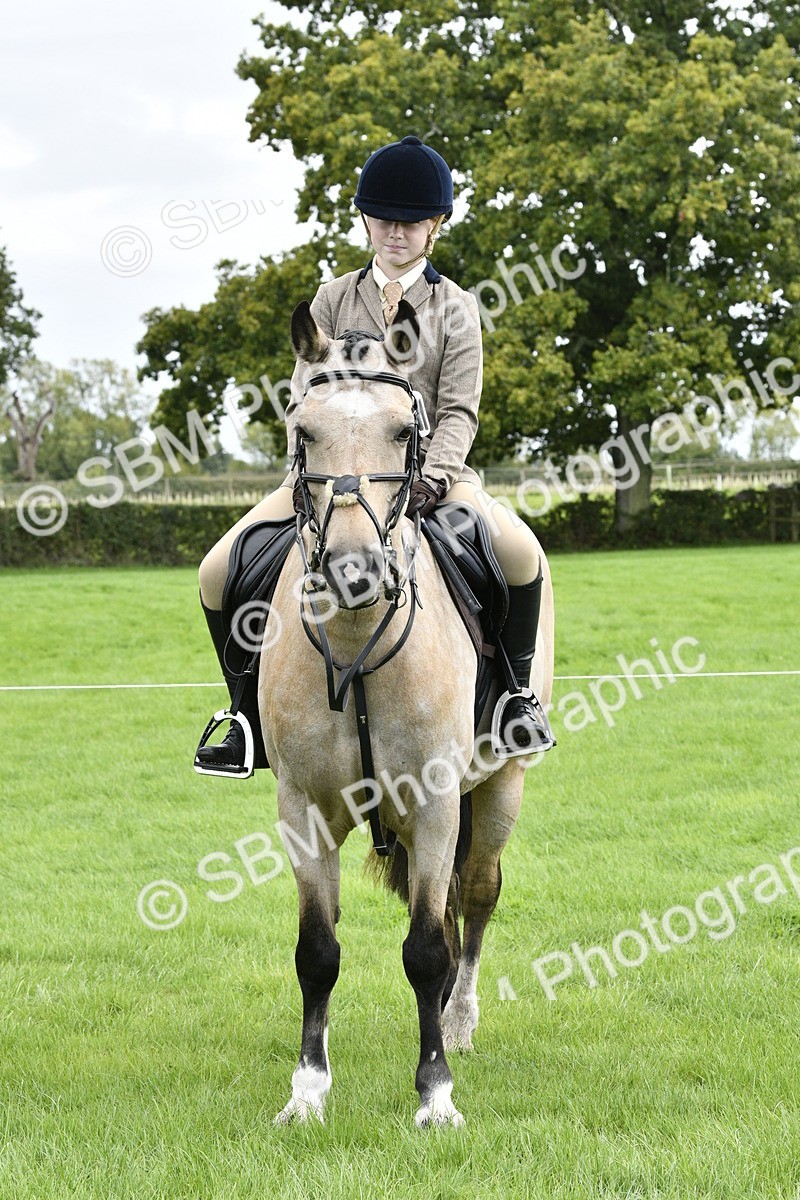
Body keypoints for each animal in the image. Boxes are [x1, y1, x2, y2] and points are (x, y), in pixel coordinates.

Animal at [260, 299, 555, 1128]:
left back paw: (459, 1022)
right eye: (304, 430)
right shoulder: (303, 807)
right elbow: (317, 951)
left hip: (499, 789)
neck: (356, 638)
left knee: (475, 898)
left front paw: (436, 1095)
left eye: (404, 430)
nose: (354, 572)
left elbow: (426, 950)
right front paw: (307, 1092)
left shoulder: (434, 800)